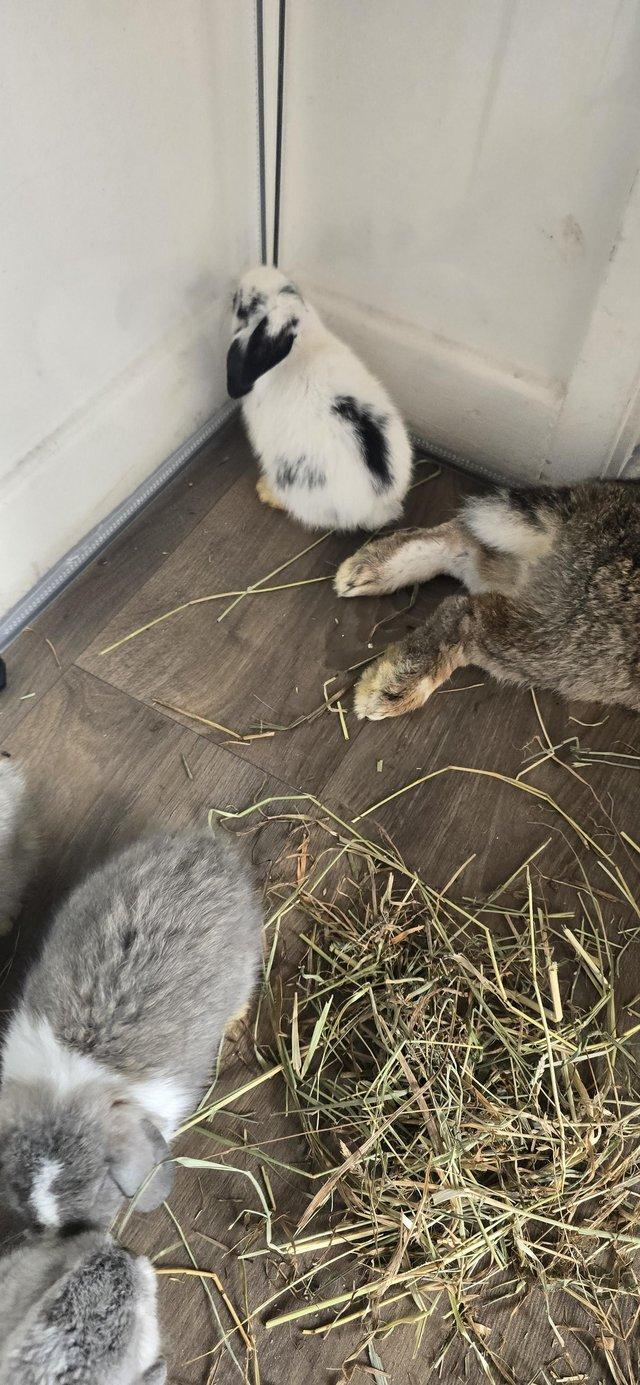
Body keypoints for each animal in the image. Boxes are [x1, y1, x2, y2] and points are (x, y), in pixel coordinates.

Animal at [227, 265, 413, 531]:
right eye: (290, 286)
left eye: (247, 306)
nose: (241, 282)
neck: (300, 339)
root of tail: (379, 504)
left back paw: (266, 491)